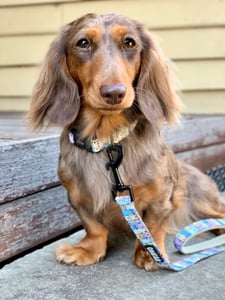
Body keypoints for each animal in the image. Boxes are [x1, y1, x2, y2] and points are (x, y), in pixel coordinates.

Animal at [27, 12, 224, 270]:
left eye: (129, 42)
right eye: (83, 43)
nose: (114, 93)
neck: (106, 139)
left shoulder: (163, 196)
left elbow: (153, 225)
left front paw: (149, 254)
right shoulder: (78, 197)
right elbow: (94, 227)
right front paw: (88, 250)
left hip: (202, 201)